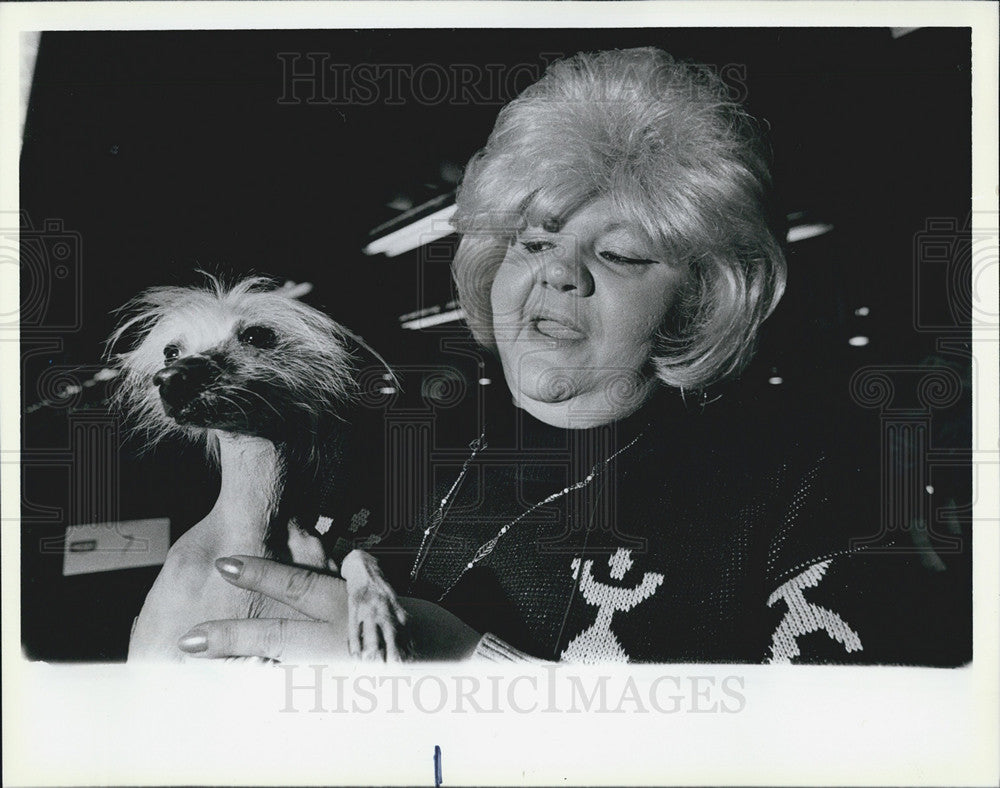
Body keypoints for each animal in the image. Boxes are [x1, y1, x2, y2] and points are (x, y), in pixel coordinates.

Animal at [109, 274, 406, 660]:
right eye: (170, 351)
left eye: (256, 335)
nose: (169, 377)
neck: (257, 528)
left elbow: (359, 554)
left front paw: (376, 611)